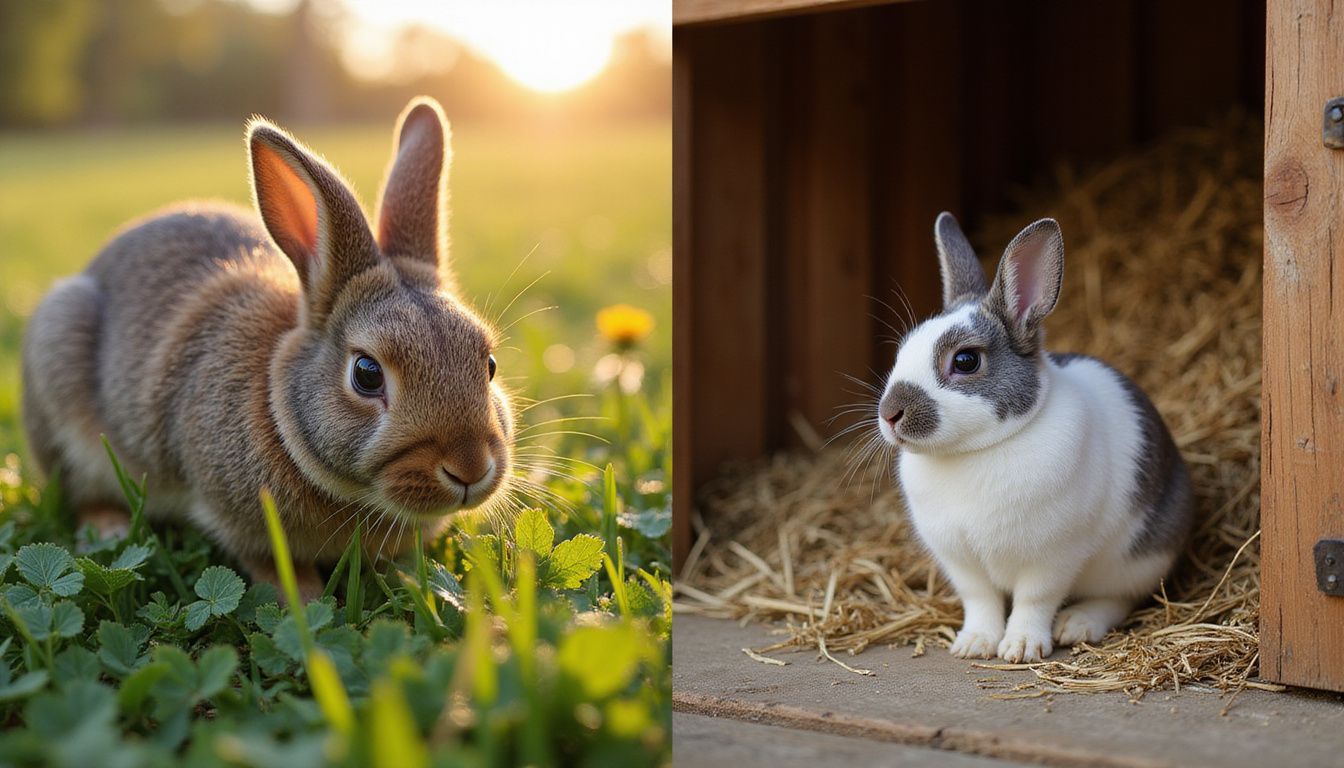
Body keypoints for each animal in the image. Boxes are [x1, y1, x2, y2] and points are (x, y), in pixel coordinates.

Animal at [21, 97, 513, 600]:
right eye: (367, 373)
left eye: (490, 364)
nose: (470, 469)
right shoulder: (239, 518)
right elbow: (269, 563)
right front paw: (308, 600)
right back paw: (109, 528)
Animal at [875, 213, 1193, 663]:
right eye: (903, 350)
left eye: (965, 360)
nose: (890, 414)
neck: (979, 450)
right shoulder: (961, 562)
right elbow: (981, 601)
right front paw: (974, 644)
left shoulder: (1052, 558)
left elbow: (1034, 601)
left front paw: (1021, 648)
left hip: (1142, 558)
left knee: (1120, 598)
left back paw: (1077, 625)